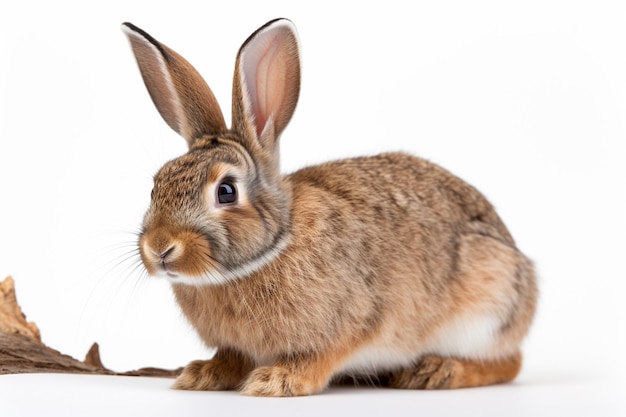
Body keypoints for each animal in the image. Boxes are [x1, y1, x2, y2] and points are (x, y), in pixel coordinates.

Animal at [122, 18, 536, 396]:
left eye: (226, 191)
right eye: (156, 185)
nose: (159, 248)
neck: (272, 247)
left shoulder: (356, 319)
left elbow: (321, 355)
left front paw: (278, 381)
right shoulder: (236, 345)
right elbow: (231, 357)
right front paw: (202, 375)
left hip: (485, 311)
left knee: (510, 363)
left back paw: (436, 372)